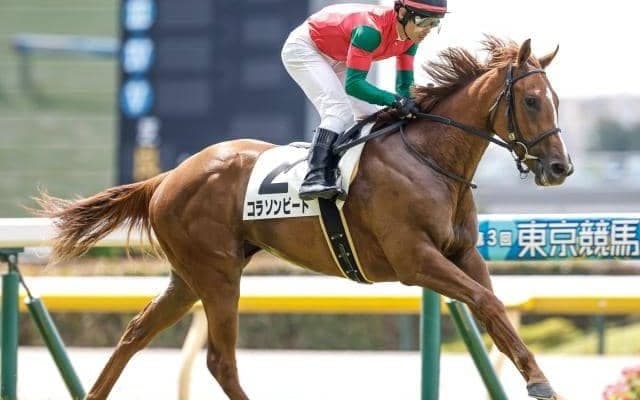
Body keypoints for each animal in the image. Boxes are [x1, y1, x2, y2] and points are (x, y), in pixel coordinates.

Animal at [36, 36, 572, 400]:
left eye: (557, 101)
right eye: (530, 101)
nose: (560, 168)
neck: (428, 158)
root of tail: (167, 176)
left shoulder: (462, 254)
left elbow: (493, 309)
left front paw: (538, 378)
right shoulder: (414, 260)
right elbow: (486, 303)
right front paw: (540, 380)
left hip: (187, 277)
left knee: (135, 333)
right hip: (217, 274)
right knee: (220, 360)